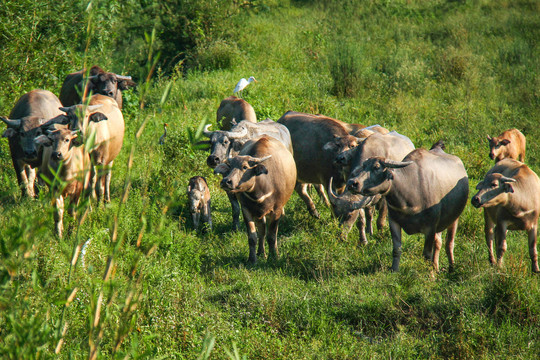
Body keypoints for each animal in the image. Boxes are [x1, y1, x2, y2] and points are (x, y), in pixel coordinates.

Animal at [350, 142, 468, 272]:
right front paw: (394, 270)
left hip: (454, 218)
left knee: (449, 244)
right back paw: (436, 267)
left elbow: (427, 254)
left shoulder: (430, 227)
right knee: (438, 243)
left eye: (376, 167)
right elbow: (397, 249)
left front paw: (430, 274)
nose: (352, 183)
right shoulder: (394, 222)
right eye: (364, 165)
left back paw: (451, 268)